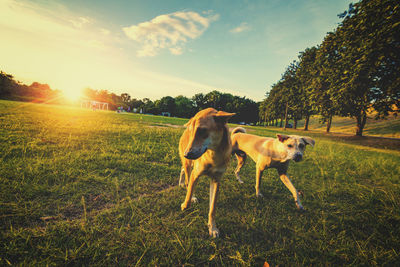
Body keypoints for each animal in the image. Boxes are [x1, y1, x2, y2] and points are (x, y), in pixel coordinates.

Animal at [178, 108, 234, 238]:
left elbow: (212, 208)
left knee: (183, 170)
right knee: (187, 177)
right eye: (192, 131)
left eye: (202, 130)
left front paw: (212, 227)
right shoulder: (195, 173)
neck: (213, 154)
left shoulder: (216, 180)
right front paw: (185, 204)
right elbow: (189, 192)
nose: (187, 153)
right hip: (189, 165)